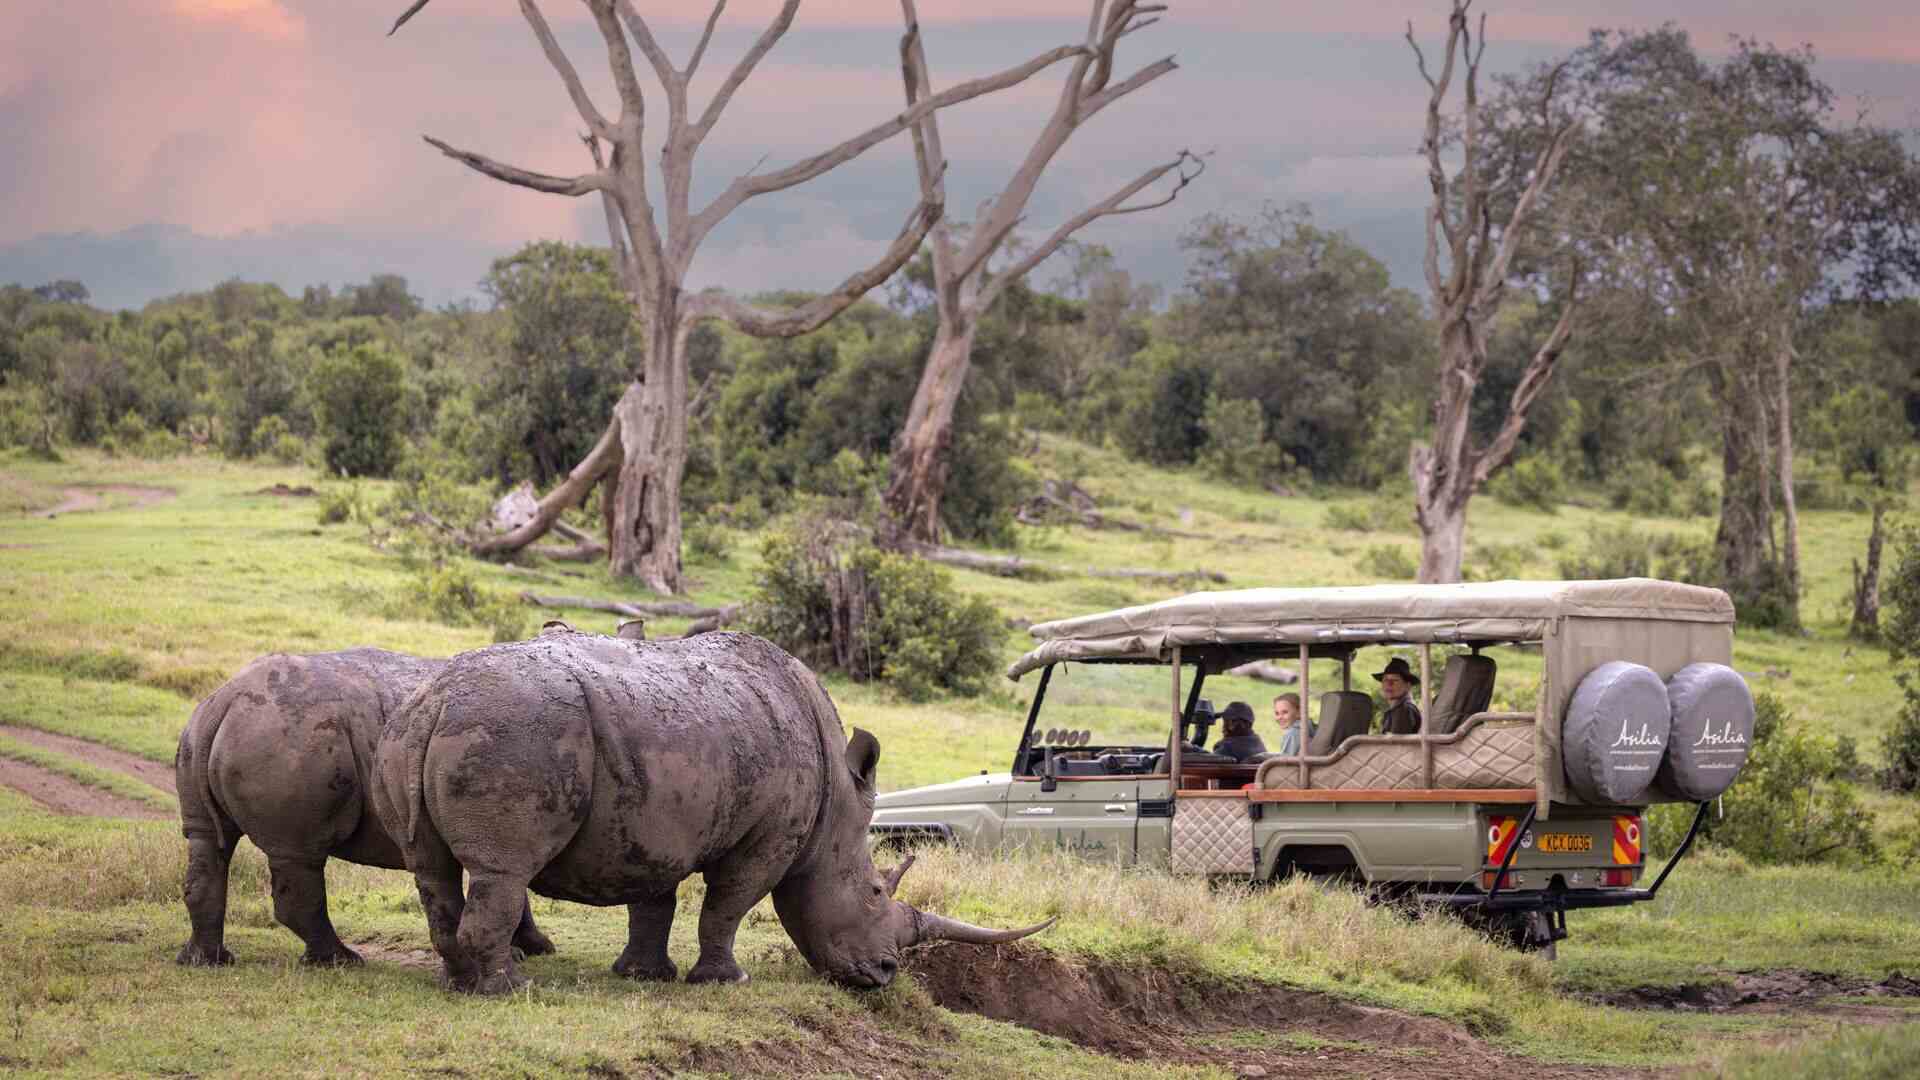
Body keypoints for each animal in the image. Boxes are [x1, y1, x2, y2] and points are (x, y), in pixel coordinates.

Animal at [175, 649, 555, 967]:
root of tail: (226, 701)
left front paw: (534, 947)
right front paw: (528, 950)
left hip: (206, 732)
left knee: (209, 839)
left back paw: (206, 960)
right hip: (291, 736)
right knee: (299, 854)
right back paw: (340, 961)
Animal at [371, 630, 1049, 993]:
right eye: (876, 892)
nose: (883, 974)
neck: (837, 806)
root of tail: (437, 700)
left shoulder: (654, 821)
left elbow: (654, 901)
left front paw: (643, 976)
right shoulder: (770, 837)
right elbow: (729, 904)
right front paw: (727, 982)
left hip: (409, 732)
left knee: (431, 869)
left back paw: (458, 983)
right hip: (513, 733)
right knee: (503, 871)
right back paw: (508, 990)